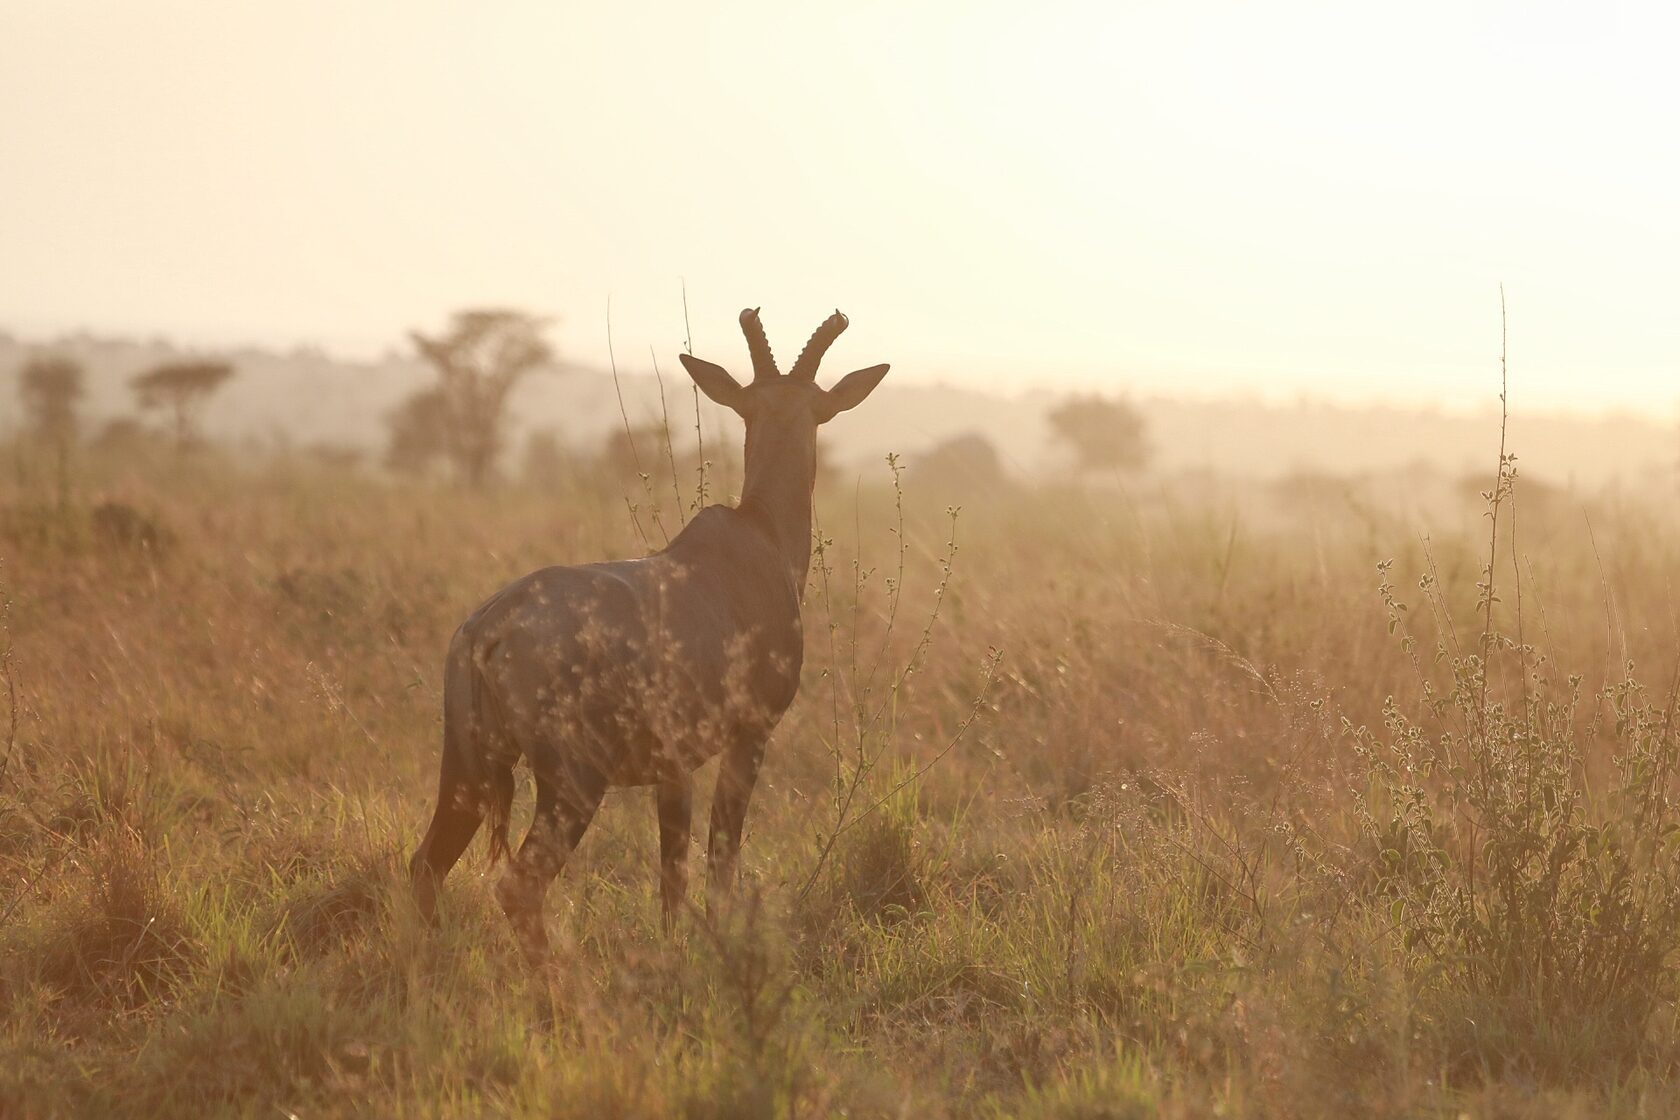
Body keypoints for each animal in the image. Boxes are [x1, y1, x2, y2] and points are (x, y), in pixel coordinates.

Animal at [408, 308, 889, 966]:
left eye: (803, 407)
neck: (754, 539)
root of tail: (490, 628)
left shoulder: (672, 766)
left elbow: (671, 875)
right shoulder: (750, 734)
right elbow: (719, 860)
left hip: (467, 767)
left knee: (426, 865)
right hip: (572, 781)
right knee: (518, 886)